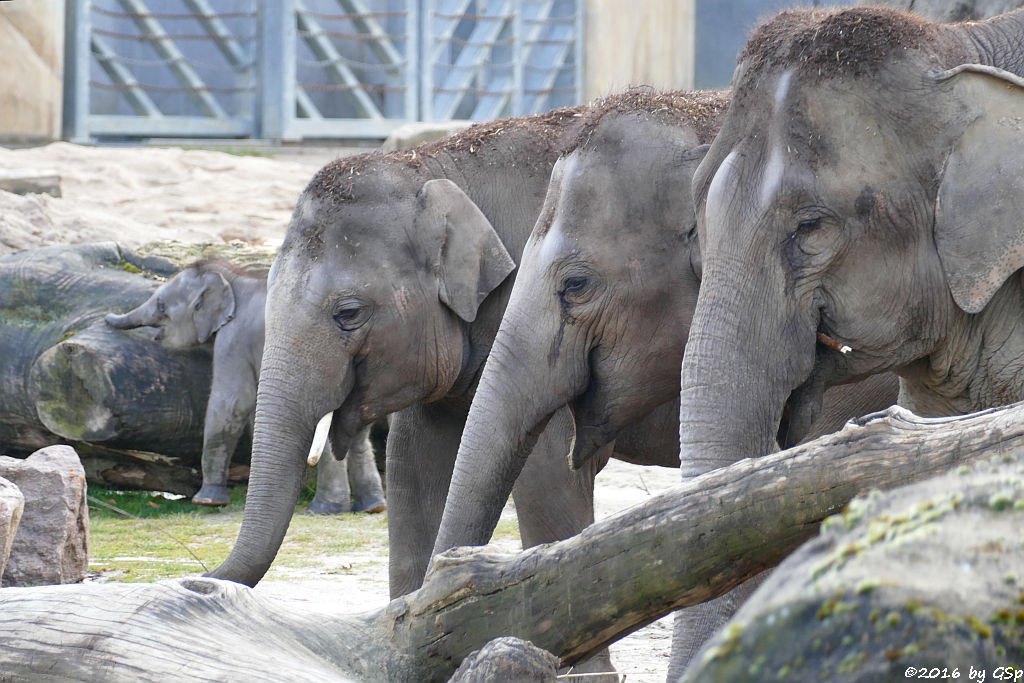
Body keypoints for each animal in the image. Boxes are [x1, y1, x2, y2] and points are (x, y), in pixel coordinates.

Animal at [107, 259, 387, 516]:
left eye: (161, 306)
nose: (107, 319)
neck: (232, 280)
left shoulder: (234, 339)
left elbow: (232, 403)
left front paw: (207, 502)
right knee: (358, 432)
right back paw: (373, 506)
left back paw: (324, 510)